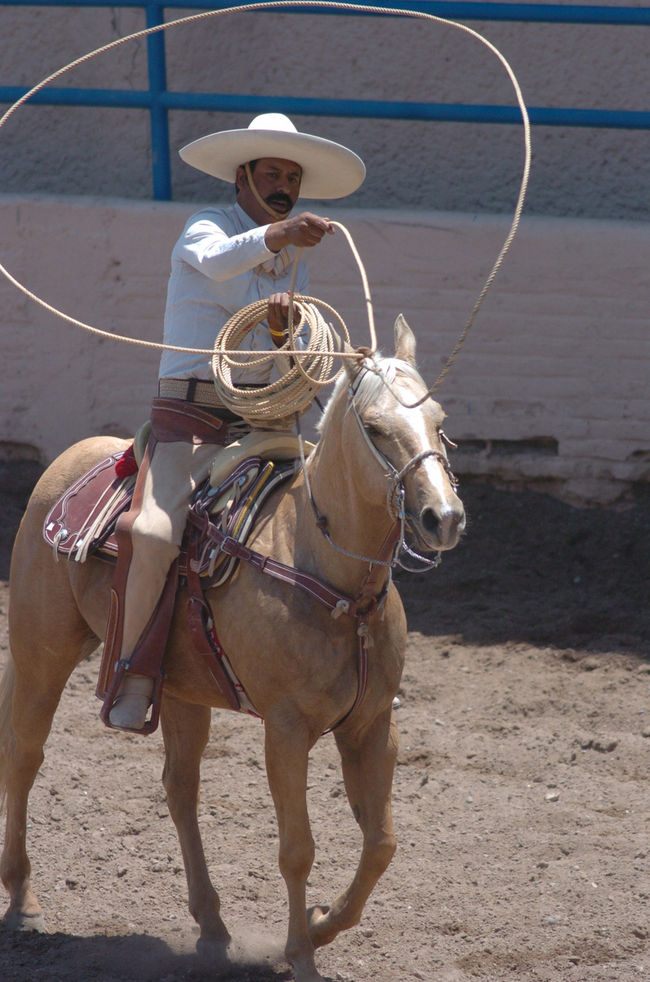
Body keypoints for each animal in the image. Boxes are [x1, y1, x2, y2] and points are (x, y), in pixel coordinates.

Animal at [0, 318, 466, 982]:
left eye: (439, 419)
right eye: (376, 428)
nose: (442, 517)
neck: (329, 576)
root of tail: (71, 459)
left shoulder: (373, 725)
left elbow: (381, 843)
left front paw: (321, 925)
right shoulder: (287, 729)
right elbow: (297, 848)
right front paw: (300, 954)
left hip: (178, 689)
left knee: (180, 789)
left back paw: (213, 928)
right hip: (43, 650)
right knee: (25, 754)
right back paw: (24, 901)